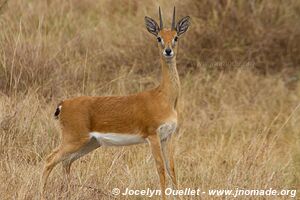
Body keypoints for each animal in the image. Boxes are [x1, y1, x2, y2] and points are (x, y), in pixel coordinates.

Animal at [40, 6, 190, 200]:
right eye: (159, 37)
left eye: (176, 37)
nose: (168, 50)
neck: (164, 97)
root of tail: (63, 104)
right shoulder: (153, 136)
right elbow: (160, 170)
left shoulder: (167, 136)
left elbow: (172, 169)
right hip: (74, 140)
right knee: (49, 160)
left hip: (90, 143)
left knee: (66, 162)